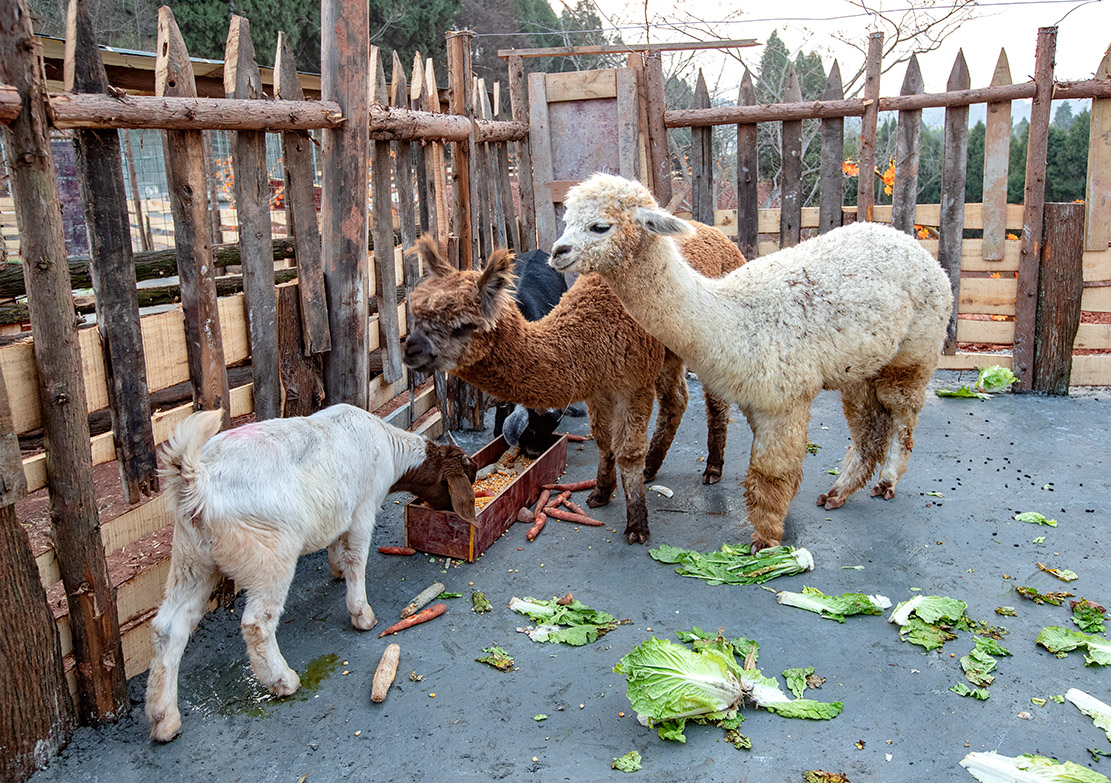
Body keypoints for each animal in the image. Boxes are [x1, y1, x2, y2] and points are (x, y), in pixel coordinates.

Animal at [145, 406, 475, 741]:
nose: (451, 513)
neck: (390, 449)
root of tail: (197, 478)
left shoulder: (341, 511)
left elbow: (337, 544)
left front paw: (337, 570)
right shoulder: (362, 510)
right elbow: (357, 559)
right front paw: (362, 615)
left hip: (191, 560)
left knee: (169, 627)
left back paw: (164, 719)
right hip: (269, 557)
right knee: (256, 624)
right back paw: (283, 681)